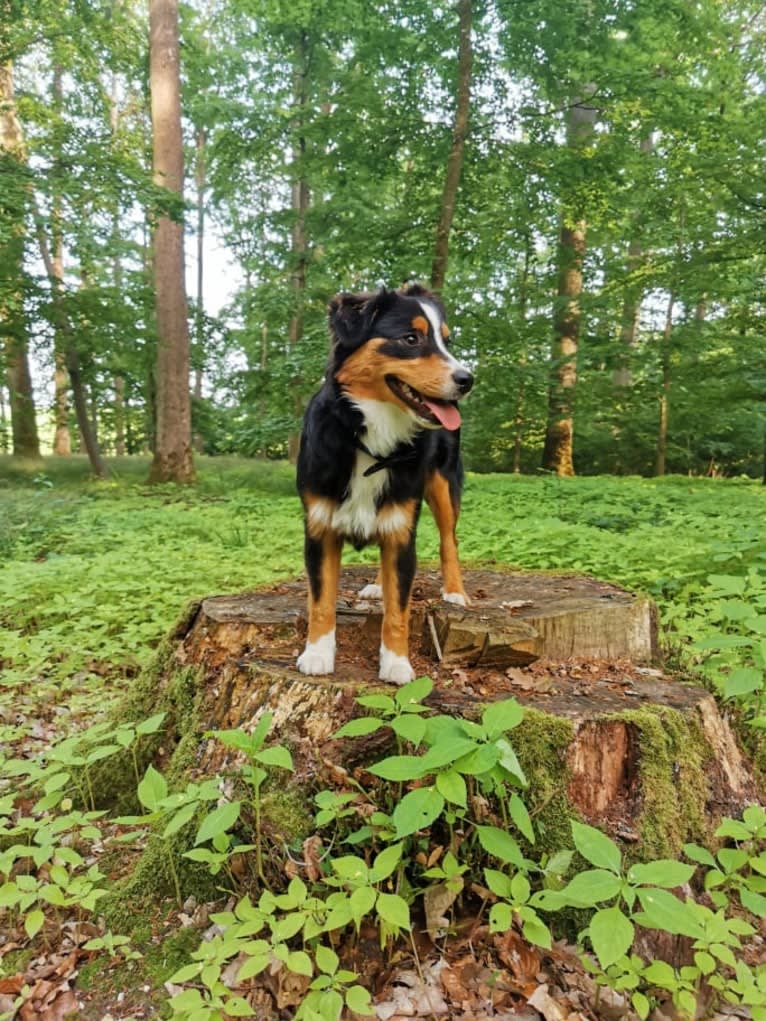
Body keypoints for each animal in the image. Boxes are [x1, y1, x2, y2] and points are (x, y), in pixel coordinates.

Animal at [296, 283, 471, 686]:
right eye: (411, 339)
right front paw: (317, 653)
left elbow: (398, 610)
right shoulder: (319, 528)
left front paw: (396, 663)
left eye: (447, 341)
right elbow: (321, 600)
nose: (467, 380)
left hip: (441, 485)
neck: (372, 437)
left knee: (449, 541)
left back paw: (455, 592)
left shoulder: (402, 529)